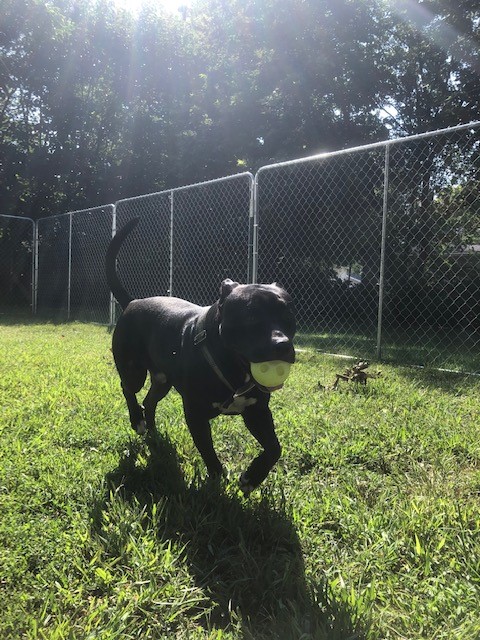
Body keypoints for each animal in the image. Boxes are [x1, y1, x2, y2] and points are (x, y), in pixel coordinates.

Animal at [106, 218, 294, 492]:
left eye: (289, 314)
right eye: (250, 315)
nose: (282, 345)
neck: (232, 370)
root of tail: (132, 302)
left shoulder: (257, 411)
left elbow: (274, 448)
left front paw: (252, 477)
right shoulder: (195, 415)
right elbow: (208, 452)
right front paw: (217, 483)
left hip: (162, 380)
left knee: (149, 401)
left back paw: (153, 433)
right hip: (133, 369)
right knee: (128, 388)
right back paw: (137, 421)